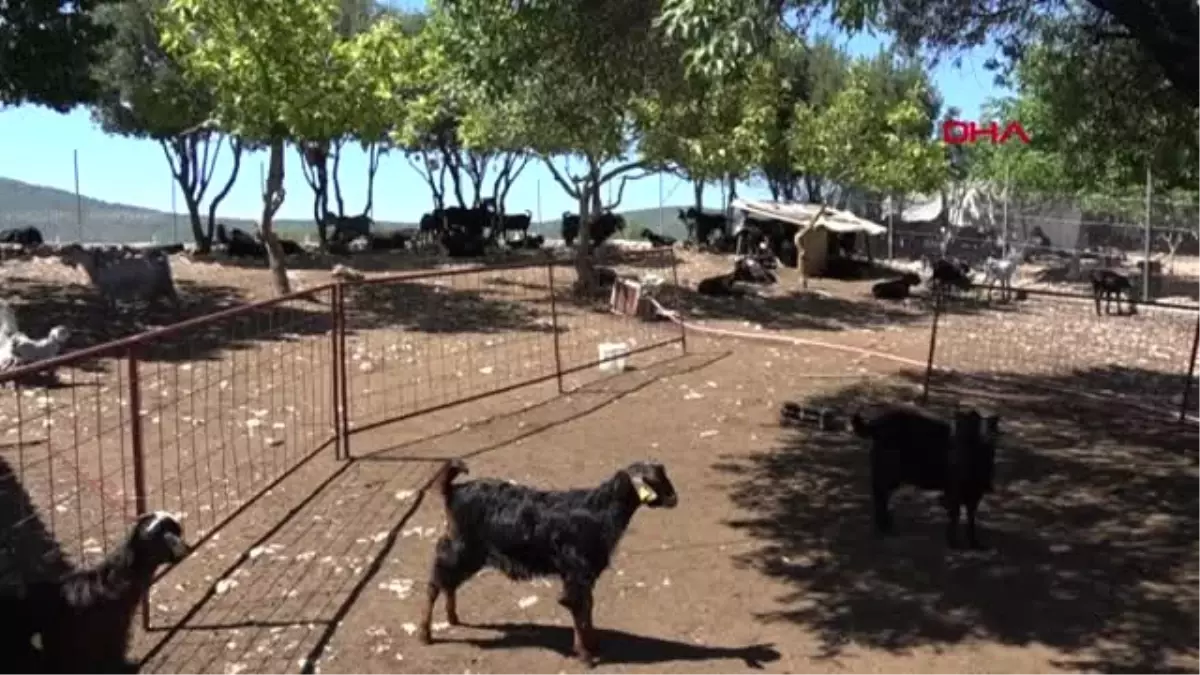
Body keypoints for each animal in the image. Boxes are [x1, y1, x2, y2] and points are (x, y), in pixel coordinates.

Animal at [417, 456, 676, 662]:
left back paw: (452, 617)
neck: (600, 511)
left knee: (448, 583)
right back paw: (425, 634)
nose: (675, 498)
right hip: (460, 549)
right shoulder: (576, 573)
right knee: (434, 584)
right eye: (655, 480)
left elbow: (588, 608)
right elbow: (579, 610)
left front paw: (593, 644)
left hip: (466, 554)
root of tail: (453, 490)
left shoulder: (584, 575)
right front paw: (585, 655)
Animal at [854, 403, 1003, 547]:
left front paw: (974, 543)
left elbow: (971, 519)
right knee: (880, 494)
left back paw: (886, 525)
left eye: (970, 437)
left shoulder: (975, 494)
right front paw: (953, 542)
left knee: (882, 496)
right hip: (888, 471)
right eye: (958, 436)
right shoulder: (954, 491)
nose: (953, 458)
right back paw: (884, 526)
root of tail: (876, 425)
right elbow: (955, 515)